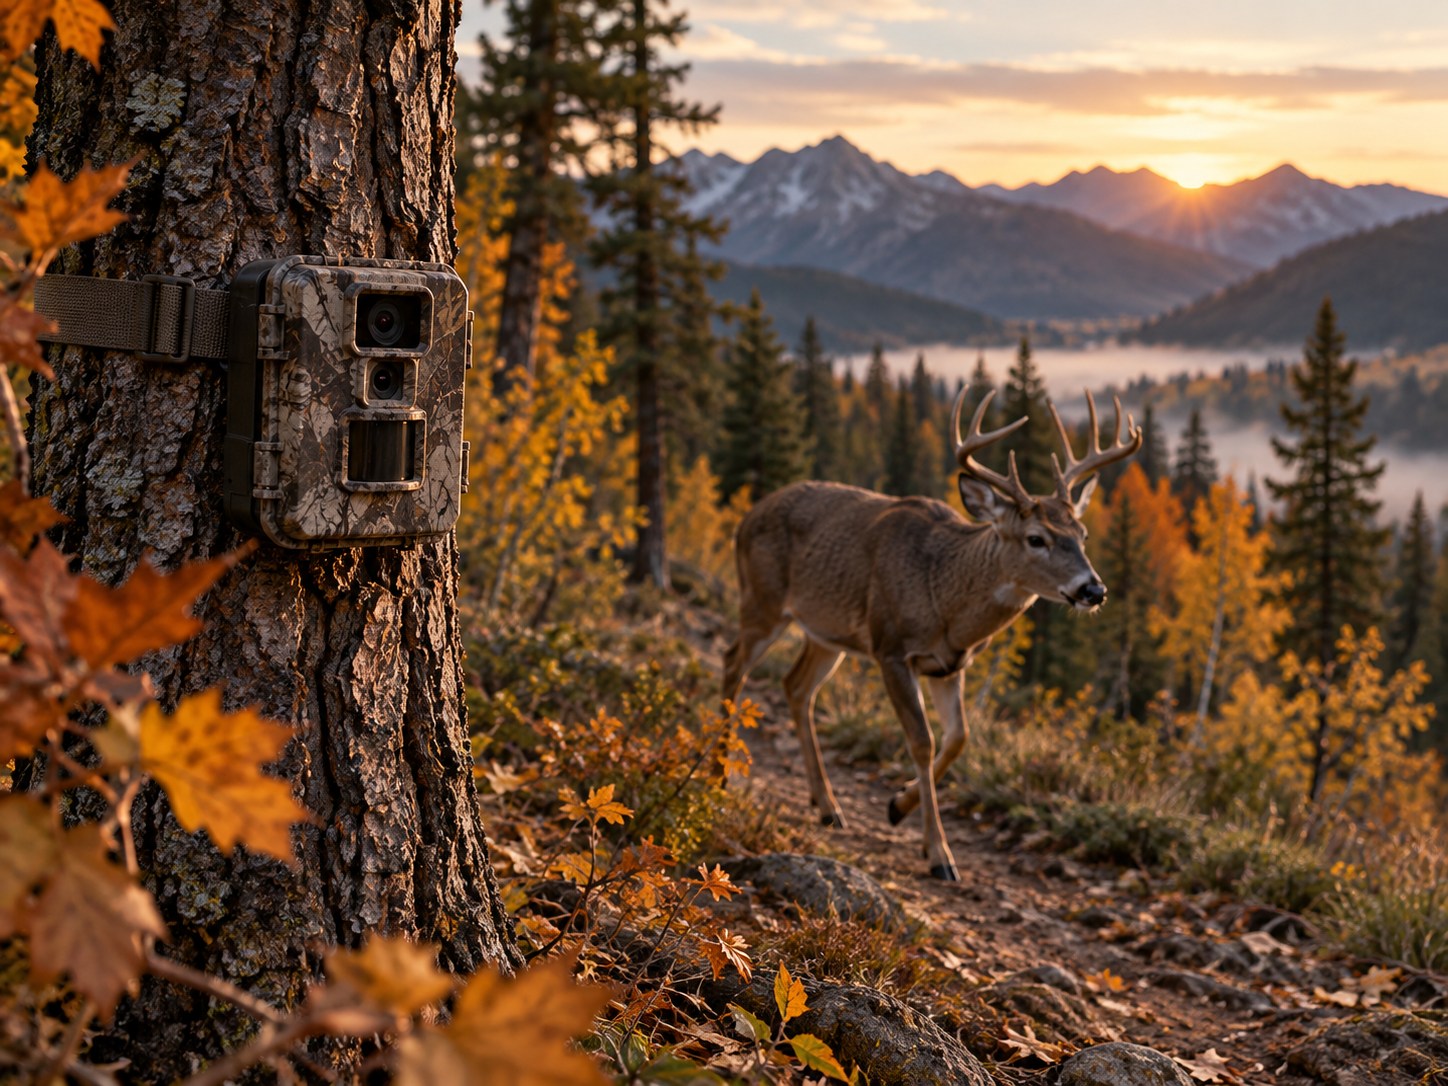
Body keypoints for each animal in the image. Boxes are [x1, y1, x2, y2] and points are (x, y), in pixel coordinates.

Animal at [723, 388, 1142, 880]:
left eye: (1083, 534)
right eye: (1036, 538)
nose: (1093, 589)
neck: (944, 600)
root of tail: (746, 516)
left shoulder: (950, 665)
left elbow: (959, 738)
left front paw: (898, 805)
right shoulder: (890, 648)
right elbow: (922, 742)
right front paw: (939, 853)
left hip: (826, 633)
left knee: (795, 687)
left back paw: (827, 806)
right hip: (762, 601)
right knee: (733, 664)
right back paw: (720, 774)